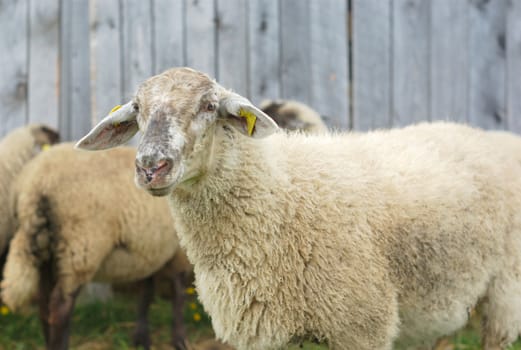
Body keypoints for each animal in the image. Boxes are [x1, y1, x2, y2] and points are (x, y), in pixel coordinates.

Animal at [0, 142, 191, 350]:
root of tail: (35, 185)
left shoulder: (149, 249)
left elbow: (146, 291)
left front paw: (141, 338)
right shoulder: (177, 252)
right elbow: (178, 293)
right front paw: (179, 339)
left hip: (47, 251)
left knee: (45, 307)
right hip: (81, 246)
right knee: (60, 308)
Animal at [74, 66, 521, 350]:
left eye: (208, 106)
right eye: (137, 108)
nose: (151, 166)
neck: (280, 195)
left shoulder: (362, 327)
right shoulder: (262, 331)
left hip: (505, 293)